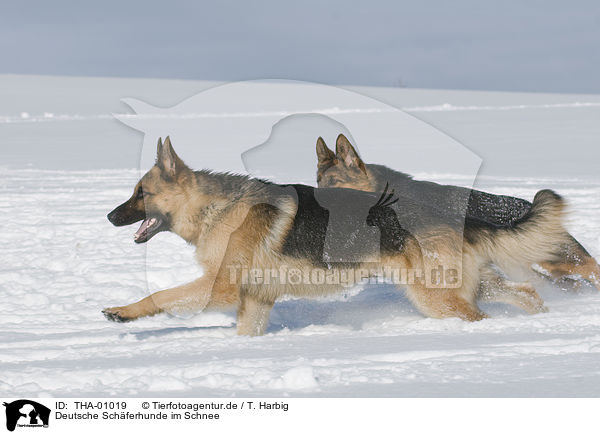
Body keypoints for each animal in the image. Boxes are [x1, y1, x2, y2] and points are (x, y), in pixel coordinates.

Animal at [103, 137, 564, 334]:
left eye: (140, 193)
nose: (108, 216)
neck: (216, 210)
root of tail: (453, 211)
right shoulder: (255, 300)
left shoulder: (221, 288)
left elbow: (161, 296)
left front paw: (123, 312)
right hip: (467, 287)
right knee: (527, 294)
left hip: (435, 298)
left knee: (483, 315)